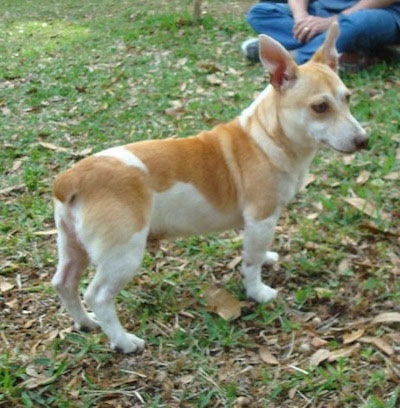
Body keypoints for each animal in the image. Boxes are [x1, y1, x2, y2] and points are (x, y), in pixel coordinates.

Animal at [53, 23, 368, 352]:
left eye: (347, 98)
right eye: (320, 107)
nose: (364, 141)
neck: (266, 137)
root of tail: (71, 179)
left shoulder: (257, 225)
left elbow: (257, 252)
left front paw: (267, 259)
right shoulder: (261, 219)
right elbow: (251, 263)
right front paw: (258, 292)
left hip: (73, 246)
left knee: (64, 283)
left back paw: (86, 323)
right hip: (123, 254)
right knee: (98, 296)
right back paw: (123, 340)